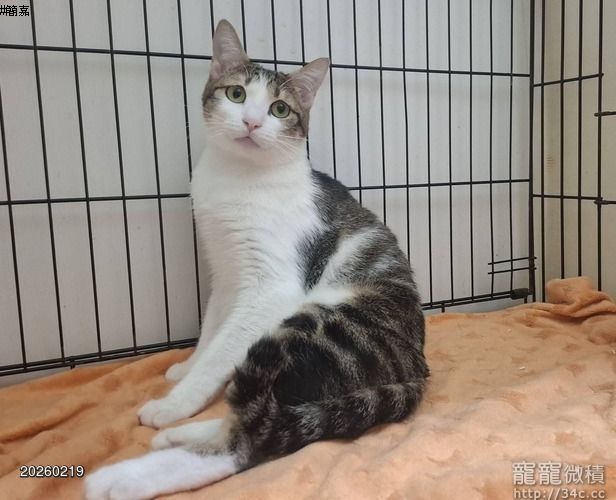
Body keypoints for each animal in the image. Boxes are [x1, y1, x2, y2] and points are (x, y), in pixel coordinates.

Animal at [84, 19, 428, 500]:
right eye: (236, 94)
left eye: (280, 109)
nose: (250, 121)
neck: (238, 180)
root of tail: (416, 369)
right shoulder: (226, 271)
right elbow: (211, 333)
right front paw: (187, 368)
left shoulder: (271, 288)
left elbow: (224, 350)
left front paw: (178, 401)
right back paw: (178, 437)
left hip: (317, 324)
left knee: (254, 437)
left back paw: (123, 478)